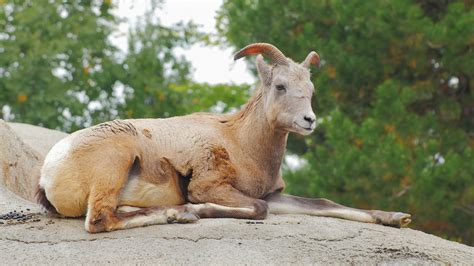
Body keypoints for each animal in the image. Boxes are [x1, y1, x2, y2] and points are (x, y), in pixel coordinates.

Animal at [37, 43, 412, 233]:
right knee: (100, 220)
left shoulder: (274, 195)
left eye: (310, 89)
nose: (309, 120)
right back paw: (180, 214)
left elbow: (324, 204)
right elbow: (257, 209)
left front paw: (396, 218)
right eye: (280, 86)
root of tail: (48, 172)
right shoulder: (213, 187)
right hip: (117, 161)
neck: (242, 144)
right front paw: (195, 209)